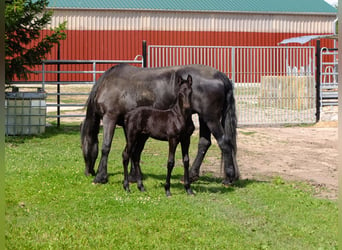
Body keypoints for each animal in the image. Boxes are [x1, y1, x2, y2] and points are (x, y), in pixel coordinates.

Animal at [81, 64, 239, 186]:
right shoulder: (129, 125)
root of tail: (220, 76)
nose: (88, 172)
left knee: (224, 143)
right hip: (203, 119)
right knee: (204, 144)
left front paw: (100, 177)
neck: (108, 83)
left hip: (210, 118)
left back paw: (229, 178)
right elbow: (131, 149)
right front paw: (133, 176)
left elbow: (106, 147)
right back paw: (191, 176)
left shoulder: (110, 117)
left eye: (82, 147)